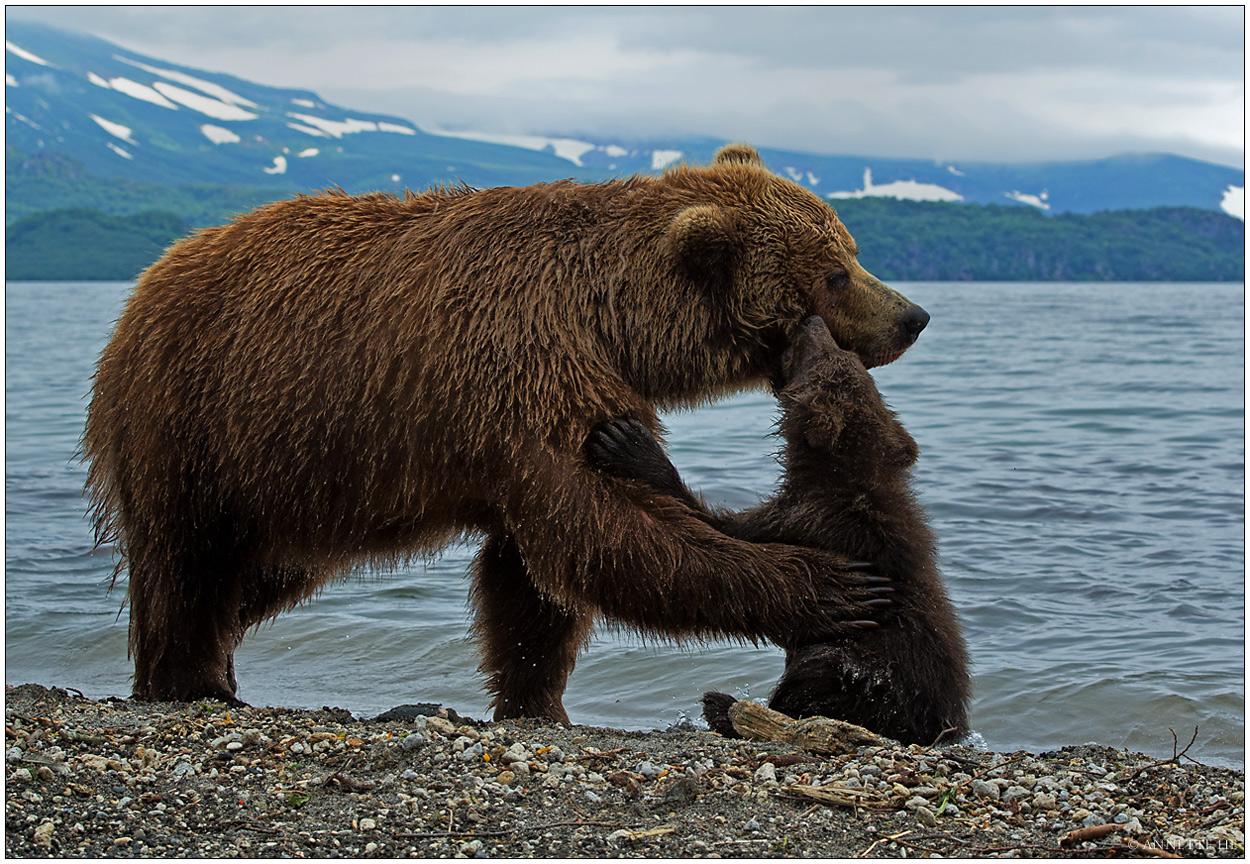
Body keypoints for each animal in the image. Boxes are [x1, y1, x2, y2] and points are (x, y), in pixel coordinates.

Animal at [85, 143, 930, 725]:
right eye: (834, 272)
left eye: (851, 250)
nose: (913, 316)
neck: (610, 318)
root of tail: (152, 277)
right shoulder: (524, 363)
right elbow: (604, 526)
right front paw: (832, 585)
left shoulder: (535, 401)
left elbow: (532, 578)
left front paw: (535, 699)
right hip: (195, 412)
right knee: (186, 557)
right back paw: (187, 679)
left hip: (294, 468)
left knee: (256, 571)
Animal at [585, 317, 965, 745]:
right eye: (841, 352)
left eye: (822, 353)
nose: (811, 321)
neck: (845, 474)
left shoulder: (807, 520)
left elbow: (730, 536)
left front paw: (627, 444)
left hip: (870, 673)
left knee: (816, 674)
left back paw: (725, 705)